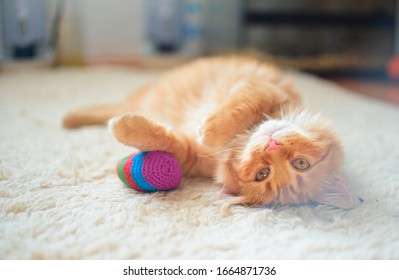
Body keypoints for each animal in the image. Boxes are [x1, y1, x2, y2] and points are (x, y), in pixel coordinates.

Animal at [64, 55, 354, 208]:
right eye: (301, 164)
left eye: (262, 174)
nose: (271, 147)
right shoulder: (263, 89)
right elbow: (241, 107)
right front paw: (212, 129)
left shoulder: (191, 157)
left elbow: (164, 139)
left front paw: (125, 128)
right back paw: (70, 118)